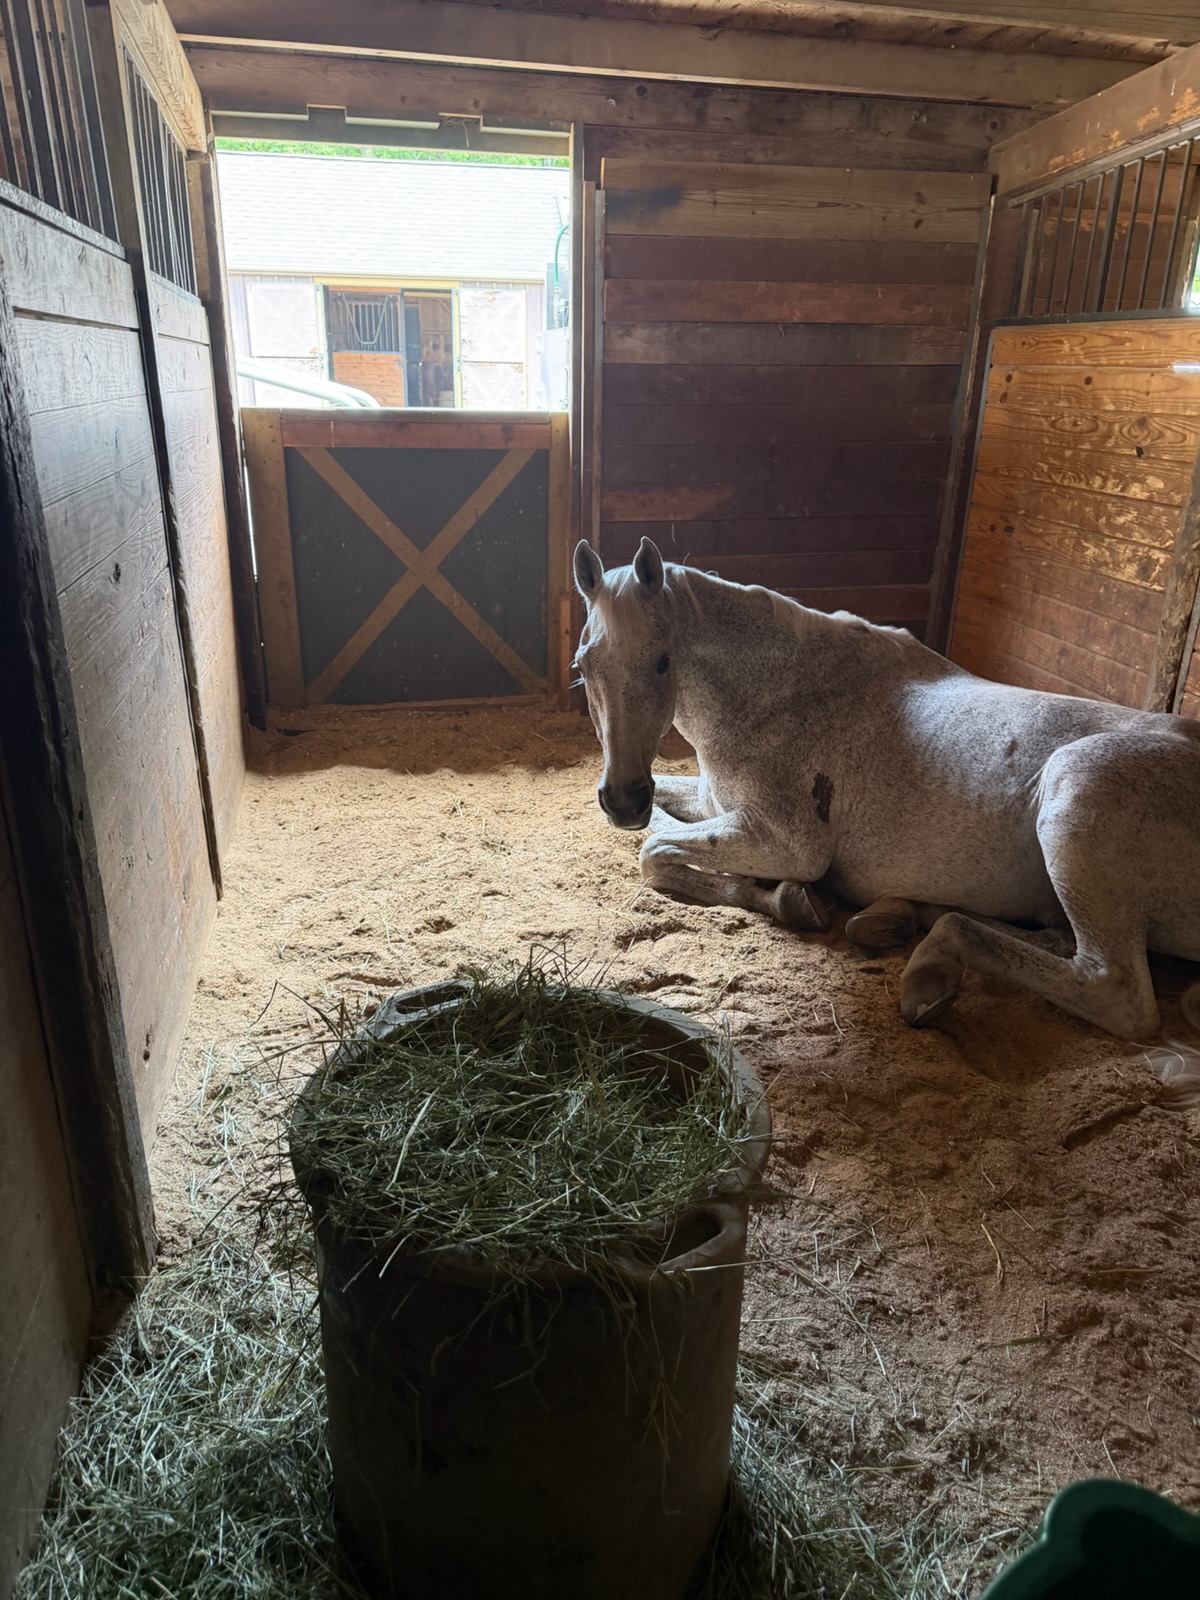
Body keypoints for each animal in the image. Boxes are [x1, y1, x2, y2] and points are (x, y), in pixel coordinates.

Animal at [572, 536, 1200, 1041]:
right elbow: (662, 828)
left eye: (662, 662)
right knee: (1053, 939)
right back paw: (901, 917)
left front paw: (789, 898)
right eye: (583, 665)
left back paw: (929, 969)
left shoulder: (787, 843)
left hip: (1077, 789)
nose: (623, 798)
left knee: (1112, 990)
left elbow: (655, 852)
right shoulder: (711, 804)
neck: (782, 696)